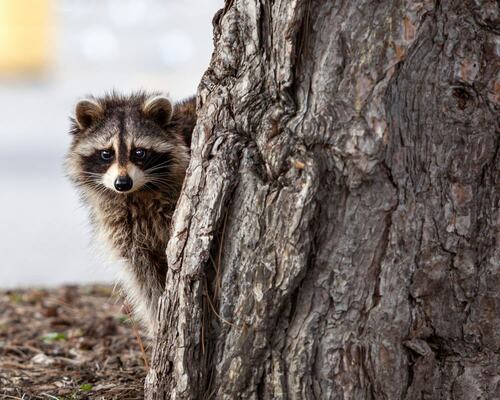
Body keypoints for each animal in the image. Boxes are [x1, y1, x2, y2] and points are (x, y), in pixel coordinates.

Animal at [67, 91, 196, 338]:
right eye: (106, 154)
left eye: (139, 152)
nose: (122, 183)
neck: (135, 194)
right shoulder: (122, 225)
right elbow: (144, 278)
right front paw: (157, 322)